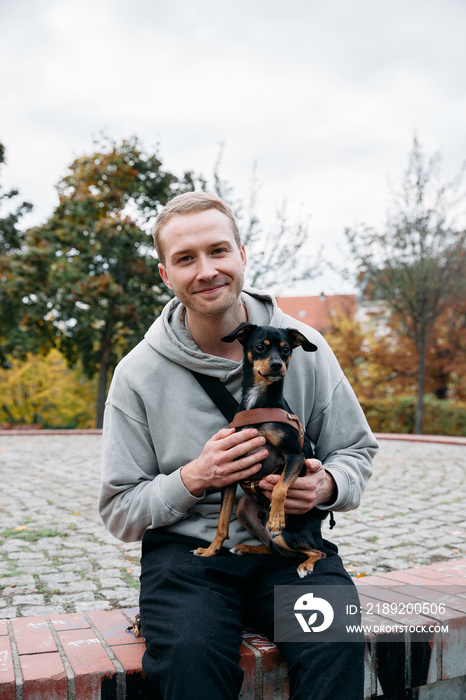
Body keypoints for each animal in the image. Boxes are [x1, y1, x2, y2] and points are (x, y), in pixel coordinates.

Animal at [195, 322, 330, 576]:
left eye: (286, 350)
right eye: (260, 347)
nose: (277, 365)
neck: (258, 403)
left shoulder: (295, 456)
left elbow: (279, 488)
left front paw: (276, 518)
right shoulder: (230, 472)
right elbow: (222, 521)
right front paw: (211, 551)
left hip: (289, 535)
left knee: (317, 551)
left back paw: (304, 565)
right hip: (244, 509)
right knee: (271, 546)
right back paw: (246, 547)